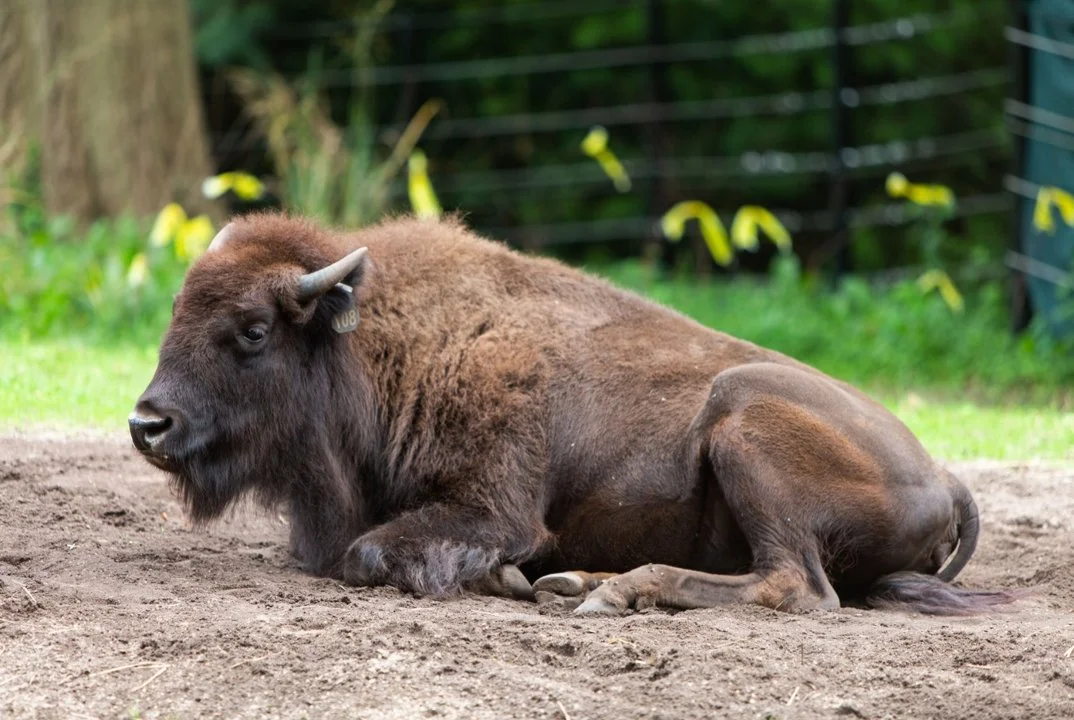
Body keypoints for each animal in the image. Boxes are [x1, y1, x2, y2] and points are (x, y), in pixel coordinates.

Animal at [130, 212, 1016, 615]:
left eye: (252, 330)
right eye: (175, 312)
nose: (148, 425)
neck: (380, 348)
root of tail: (944, 476)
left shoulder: (494, 506)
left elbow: (374, 552)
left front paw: (501, 576)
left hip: (742, 424)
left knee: (794, 583)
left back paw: (604, 592)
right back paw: (575, 582)